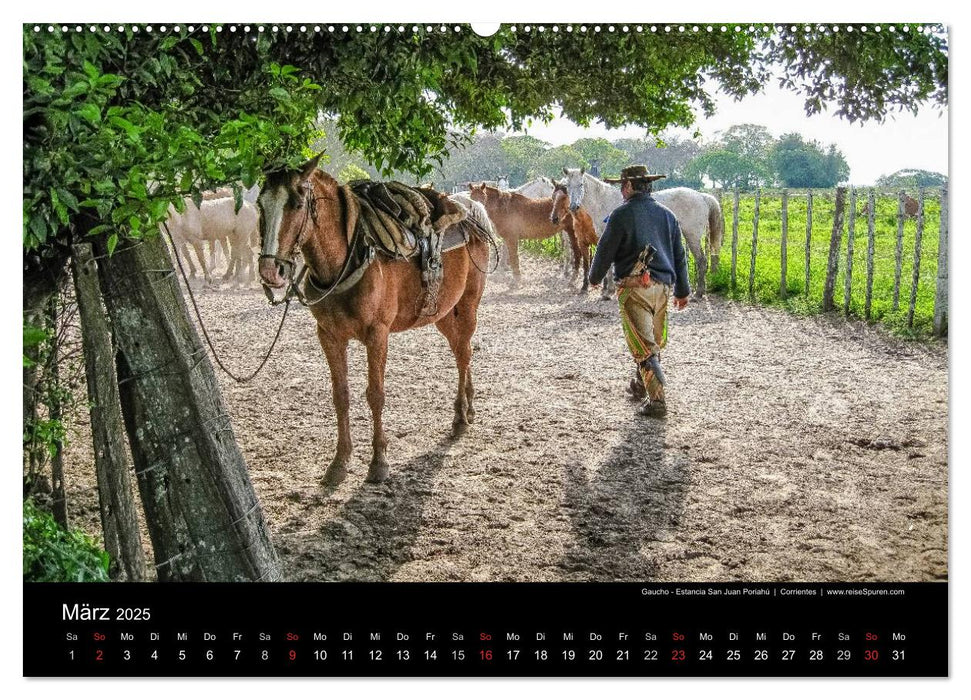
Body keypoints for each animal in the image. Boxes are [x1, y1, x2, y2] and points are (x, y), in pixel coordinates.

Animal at [256, 159, 490, 486]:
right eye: (260, 203)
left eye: (298, 204)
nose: (270, 270)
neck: (347, 258)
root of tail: (470, 214)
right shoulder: (328, 336)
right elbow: (340, 395)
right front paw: (339, 462)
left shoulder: (377, 334)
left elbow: (375, 395)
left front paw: (379, 462)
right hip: (442, 312)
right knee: (460, 351)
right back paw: (468, 406)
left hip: (468, 305)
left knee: (465, 353)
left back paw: (460, 417)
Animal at [560, 172, 720, 300]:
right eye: (567, 186)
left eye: (581, 184)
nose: (573, 206)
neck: (604, 201)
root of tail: (701, 196)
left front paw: (608, 292)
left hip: (693, 236)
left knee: (701, 261)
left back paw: (698, 294)